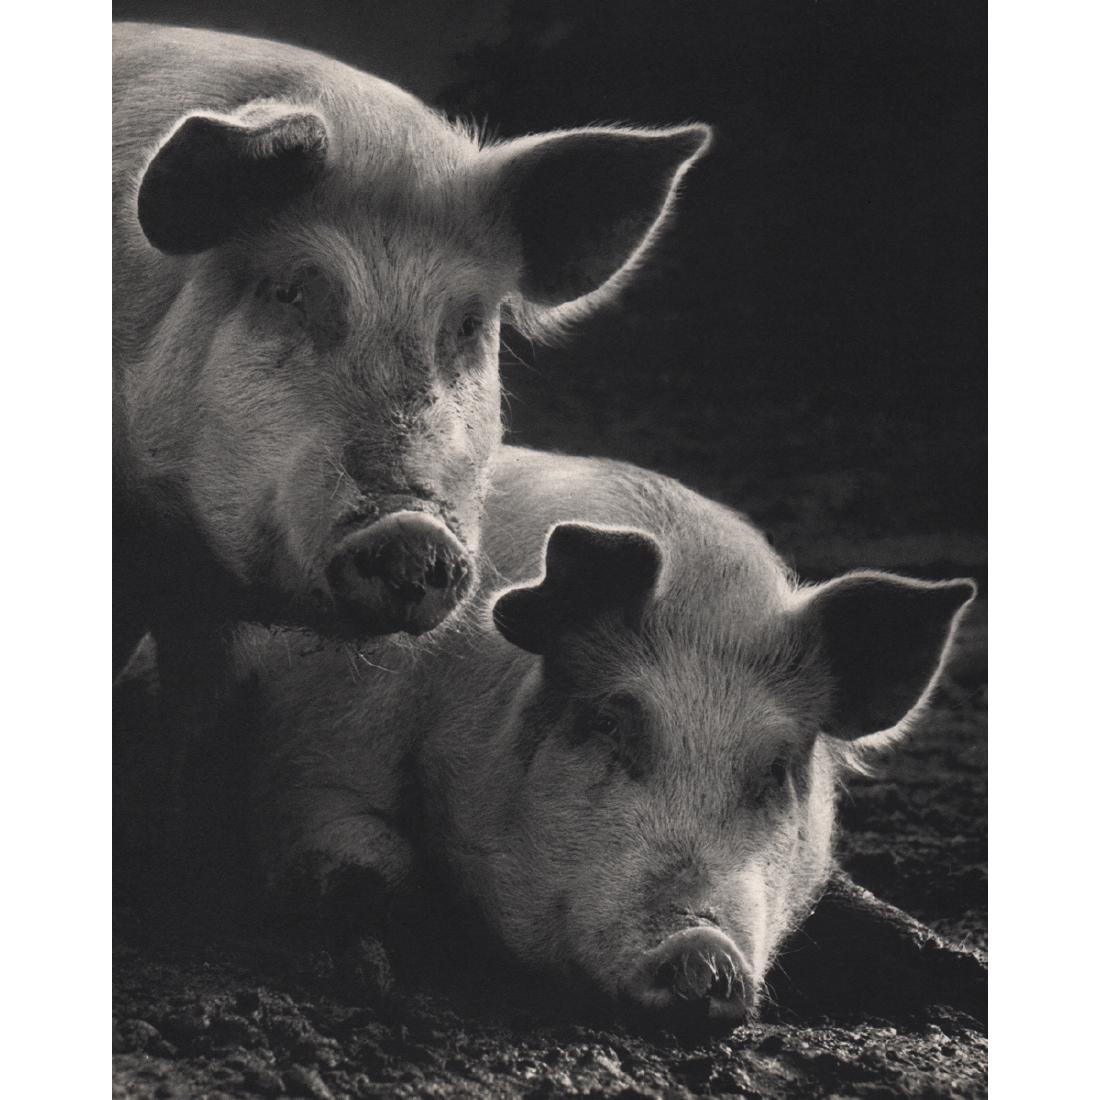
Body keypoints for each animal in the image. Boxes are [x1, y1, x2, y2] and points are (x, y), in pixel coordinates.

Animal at [244, 446, 975, 1024]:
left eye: (776, 768)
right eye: (609, 723)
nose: (703, 950)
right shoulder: (316, 761)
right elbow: (365, 854)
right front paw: (375, 977)